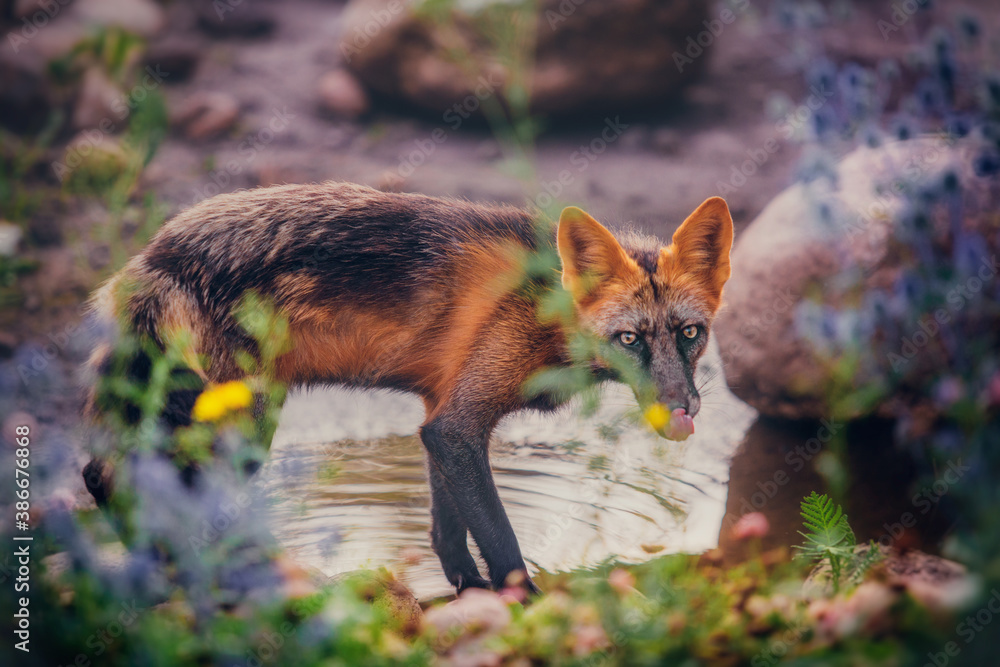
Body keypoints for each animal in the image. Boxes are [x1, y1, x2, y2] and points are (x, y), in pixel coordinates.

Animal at [82, 181, 734, 595]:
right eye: (629, 339)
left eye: (691, 333)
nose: (681, 408)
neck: (548, 308)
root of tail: (153, 255)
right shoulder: (458, 425)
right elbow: (500, 541)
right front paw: (526, 606)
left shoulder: (438, 417)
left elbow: (448, 530)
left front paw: (465, 591)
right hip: (237, 426)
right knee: (129, 481)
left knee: (103, 474)